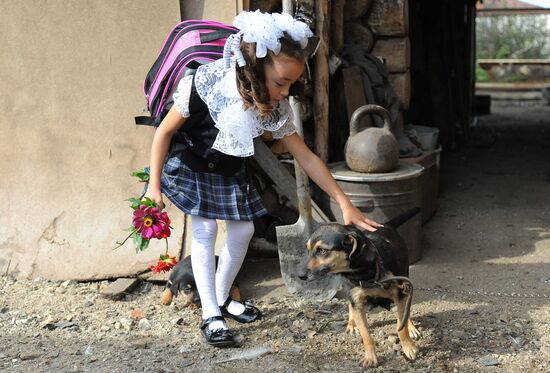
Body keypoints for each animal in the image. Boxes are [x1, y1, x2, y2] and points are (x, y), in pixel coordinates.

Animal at [300, 208, 420, 368]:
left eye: (322, 250)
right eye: (307, 249)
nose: (299, 275)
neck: (364, 273)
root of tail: (385, 225)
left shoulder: (399, 293)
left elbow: (401, 328)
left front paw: (408, 347)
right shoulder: (356, 300)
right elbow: (366, 335)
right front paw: (370, 357)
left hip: (405, 279)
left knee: (407, 305)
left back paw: (411, 326)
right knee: (350, 304)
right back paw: (352, 323)